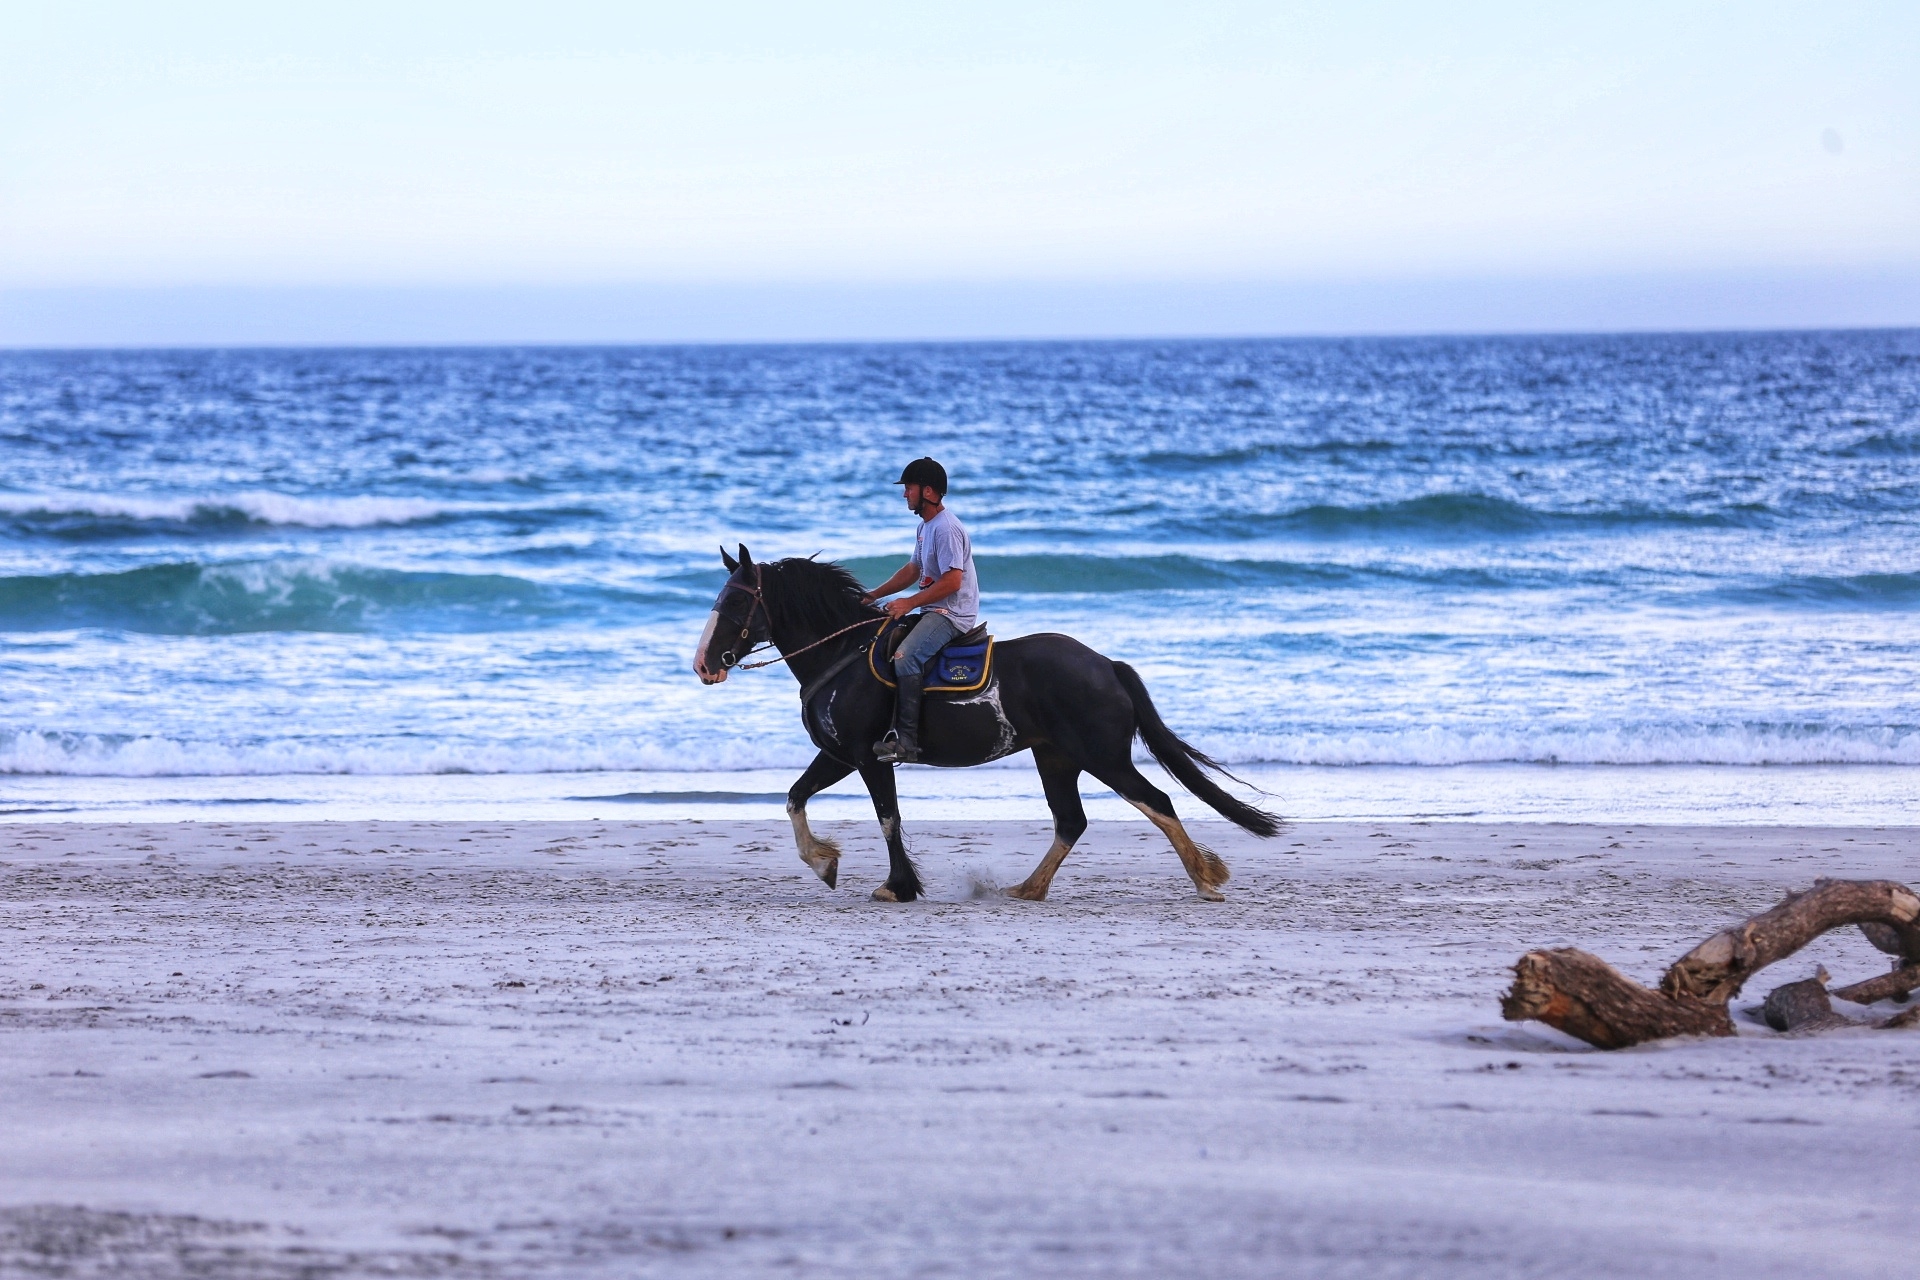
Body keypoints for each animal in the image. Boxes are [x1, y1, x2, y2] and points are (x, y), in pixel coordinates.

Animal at [691, 545, 1274, 905]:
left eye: (738, 598)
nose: (704, 664)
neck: (841, 655)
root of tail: (1107, 665)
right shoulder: (839, 755)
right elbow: (795, 797)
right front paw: (823, 863)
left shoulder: (866, 756)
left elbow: (888, 819)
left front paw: (897, 886)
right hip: (1056, 758)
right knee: (1071, 821)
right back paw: (1028, 889)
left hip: (1103, 757)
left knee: (1157, 801)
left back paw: (1205, 880)